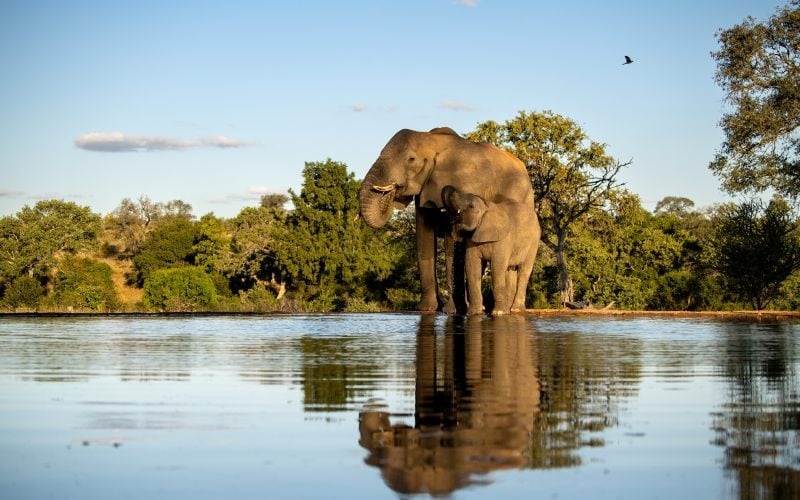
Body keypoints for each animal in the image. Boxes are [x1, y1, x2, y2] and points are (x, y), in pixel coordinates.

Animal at [441, 185, 540, 315]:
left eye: (471, 206)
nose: (446, 311)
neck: (487, 206)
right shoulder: (473, 239)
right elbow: (472, 267)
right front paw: (473, 313)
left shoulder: (503, 239)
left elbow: (497, 267)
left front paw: (498, 313)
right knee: (510, 270)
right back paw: (508, 309)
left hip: (534, 243)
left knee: (524, 271)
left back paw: (515, 310)